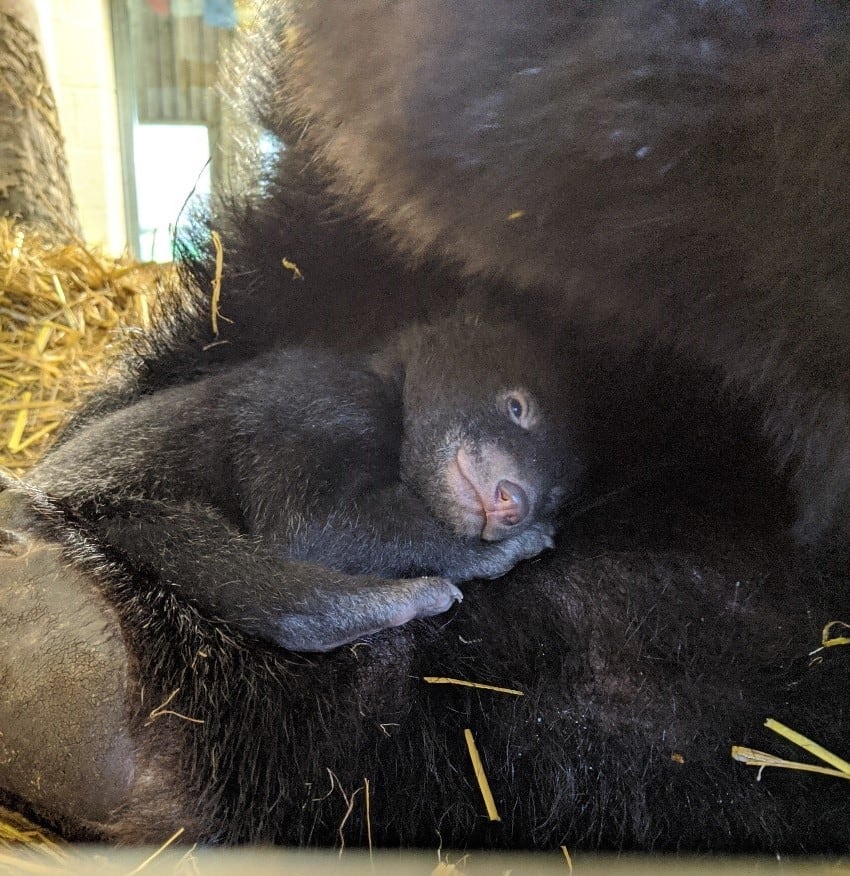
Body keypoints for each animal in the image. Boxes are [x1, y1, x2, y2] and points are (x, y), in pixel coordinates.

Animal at [1, 0, 848, 852]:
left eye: (559, 483)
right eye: (516, 406)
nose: (515, 501)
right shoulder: (315, 391)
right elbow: (316, 515)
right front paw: (503, 551)